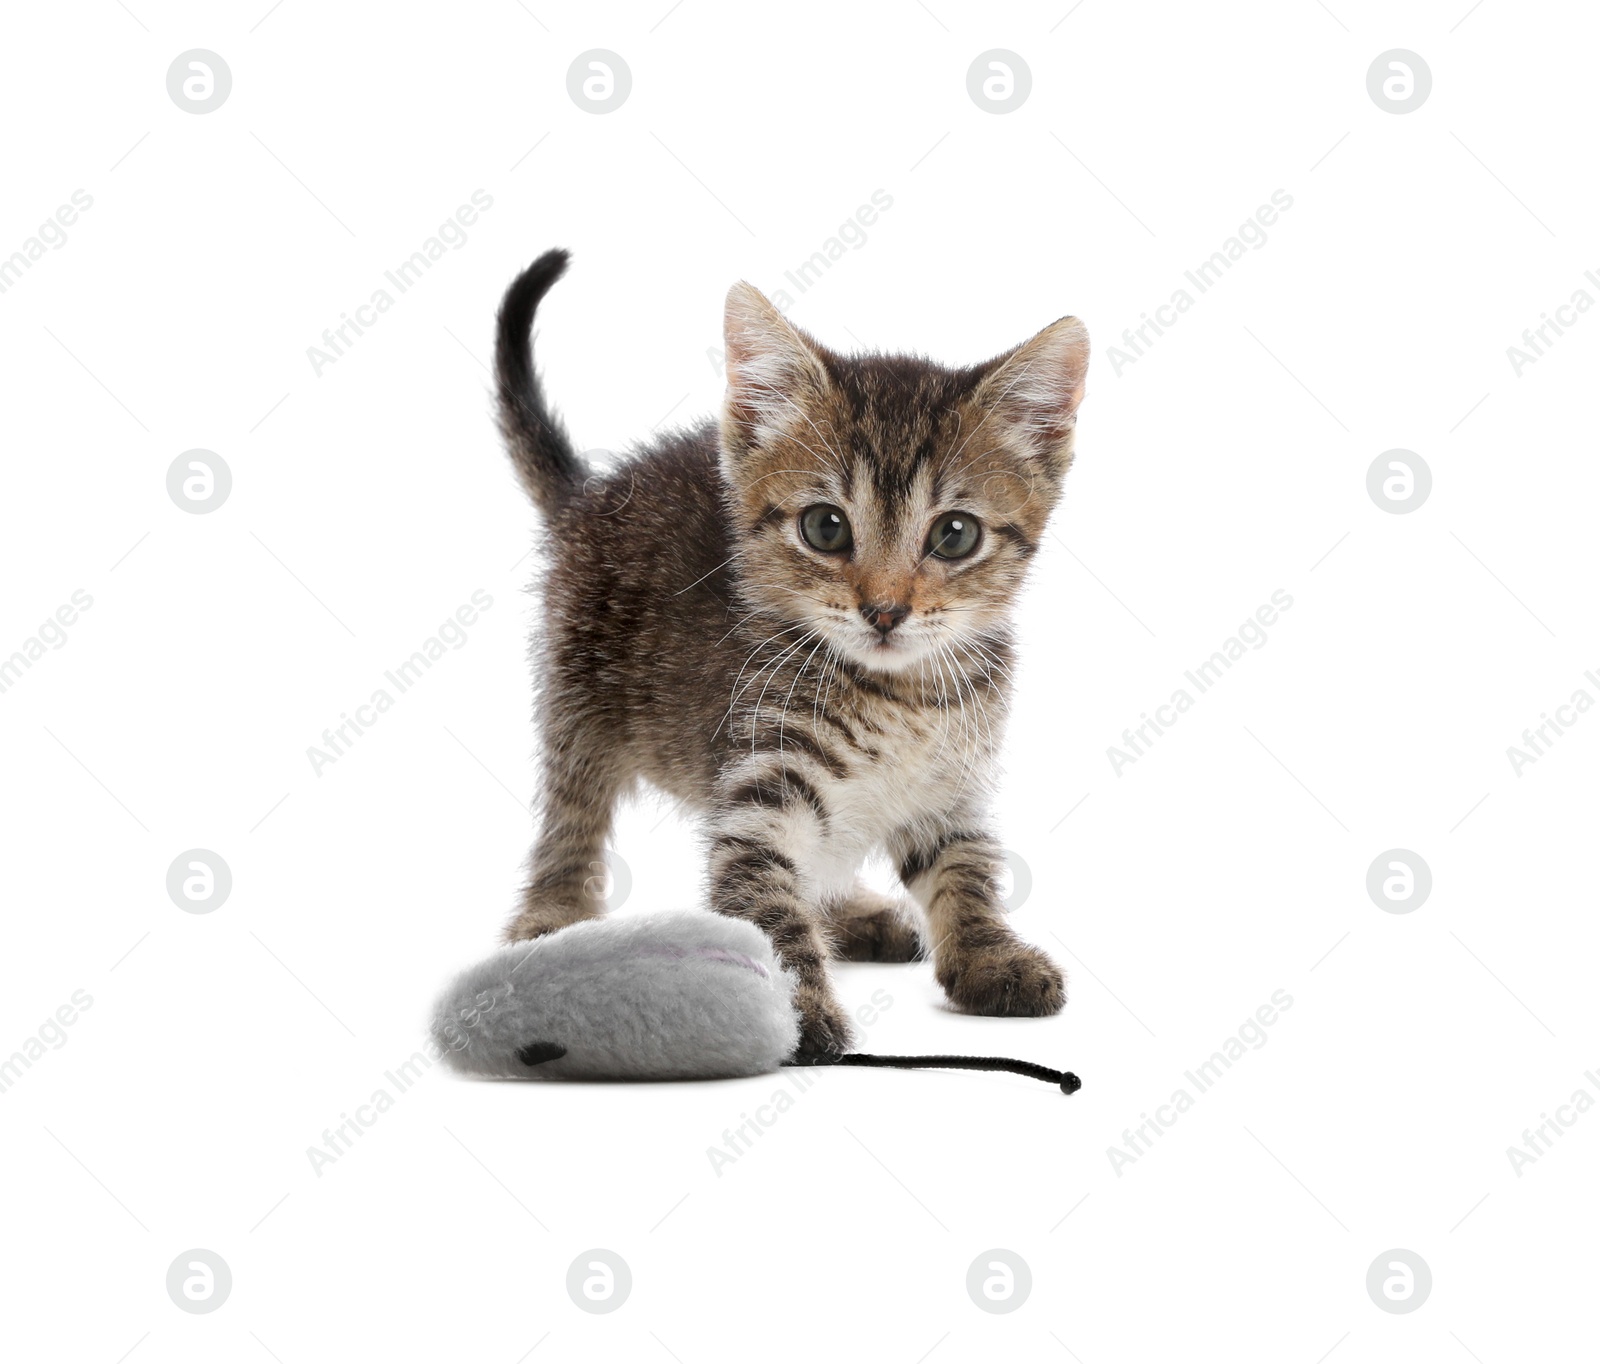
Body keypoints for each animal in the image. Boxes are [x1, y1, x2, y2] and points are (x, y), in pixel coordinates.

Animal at [489, 249, 1088, 1056]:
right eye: (826, 528)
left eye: (955, 535)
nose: (885, 610)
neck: (900, 694)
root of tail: (595, 493)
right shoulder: (758, 782)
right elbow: (764, 898)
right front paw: (791, 1009)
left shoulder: (950, 785)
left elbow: (964, 867)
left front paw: (989, 953)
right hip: (578, 692)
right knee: (571, 817)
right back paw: (554, 915)